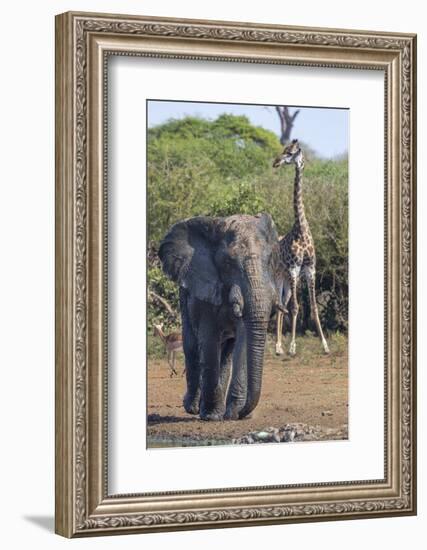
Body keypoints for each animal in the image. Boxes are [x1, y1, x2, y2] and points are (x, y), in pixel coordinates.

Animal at [158, 213, 284, 420]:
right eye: (227, 263)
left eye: (269, 261)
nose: (243, 413)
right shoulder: (204, 287)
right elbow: (209, 340)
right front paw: (211, 416)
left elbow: (243, 339)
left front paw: (233, 415)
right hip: (184, 300)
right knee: (192, 345)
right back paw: (193, 408)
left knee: (225, 354)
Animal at [272, 140, 330, 358]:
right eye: (284, 150)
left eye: (290, 152)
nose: (275, 162)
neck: (301, 229)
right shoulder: (295, 269)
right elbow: (296, 307)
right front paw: (292, 347)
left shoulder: (310, 269)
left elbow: (313, 307)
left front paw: (325, 345)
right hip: (280, 277)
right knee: (281, 305)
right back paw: (278, 347)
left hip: (286, 282)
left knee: (283, 304)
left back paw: (279, 346)